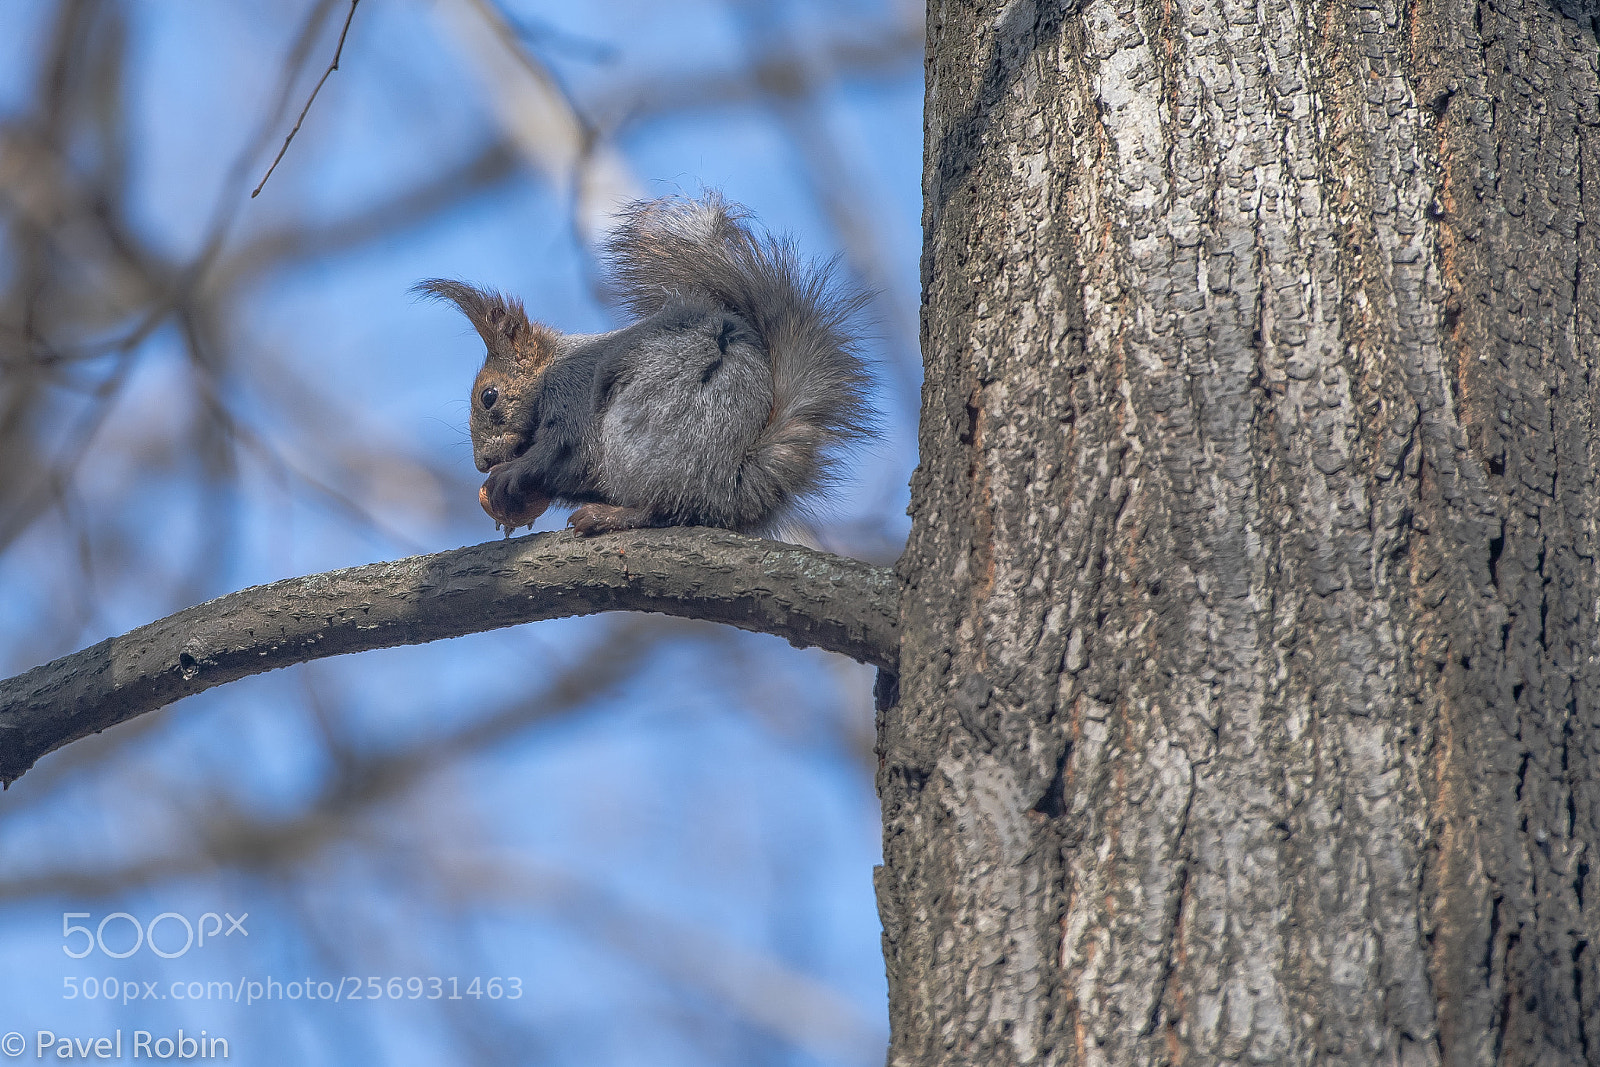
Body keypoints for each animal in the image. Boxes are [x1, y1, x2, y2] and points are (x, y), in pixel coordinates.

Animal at [417, 193, 874, 537]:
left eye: (488, 396)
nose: (481, 464)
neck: (552, 369)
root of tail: (728, 487)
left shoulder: (572, 391)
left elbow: (567, 453)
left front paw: (510, 475)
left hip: (641, 434)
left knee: (663, 506)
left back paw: (613, 516)